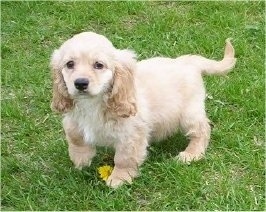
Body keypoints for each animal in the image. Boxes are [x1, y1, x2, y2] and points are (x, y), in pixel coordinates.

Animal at [50, 31, 237, 187]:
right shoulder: (73, 121)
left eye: (99, 65)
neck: (94, 103)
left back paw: (191, 154)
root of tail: (186, 61)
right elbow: (76, 139)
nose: (80, 83)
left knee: (202, 130)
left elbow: (124, 159)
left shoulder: (131, 135)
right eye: (69, 64)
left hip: (188, 113)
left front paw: (119, 178)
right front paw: (81, 160)